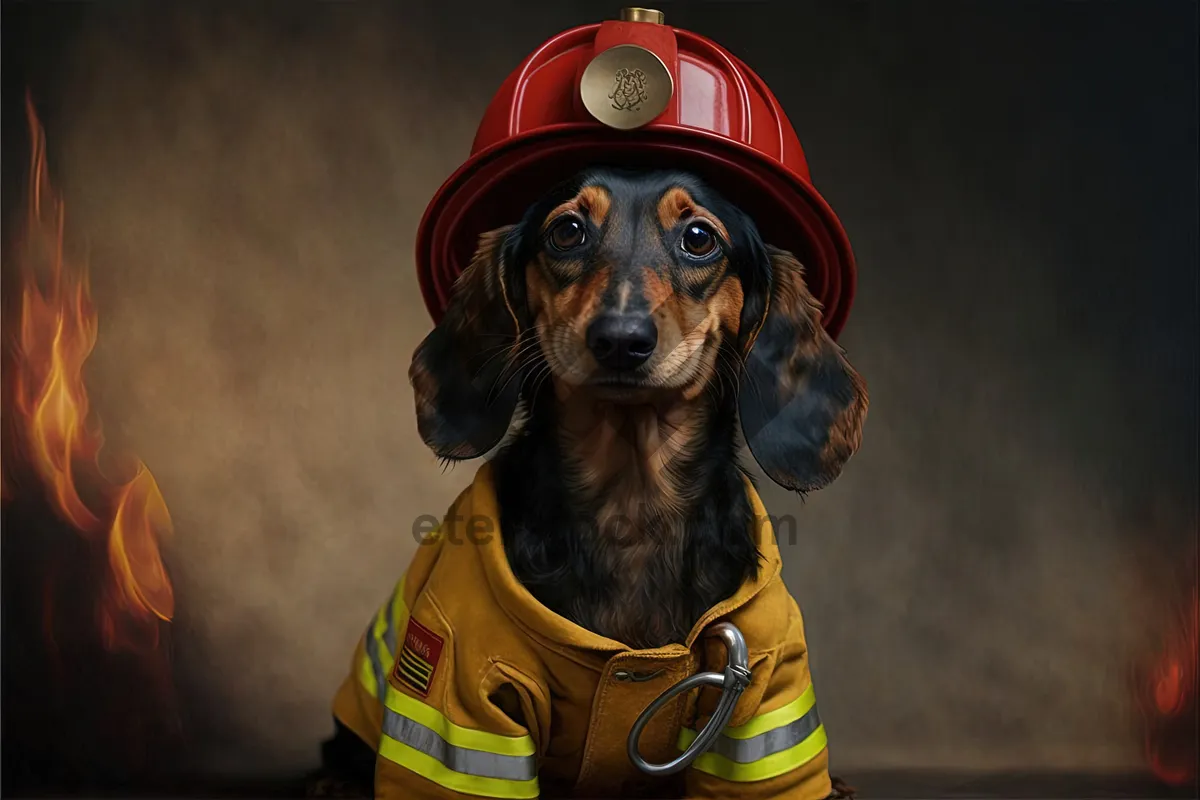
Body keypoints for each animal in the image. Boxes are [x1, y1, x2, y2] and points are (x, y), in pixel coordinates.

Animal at [314, 165, 868, 796]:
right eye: (567, 231)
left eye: (700, 238)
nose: (621, 339)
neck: (631, 502)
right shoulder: (461, 690)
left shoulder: (770, 689)